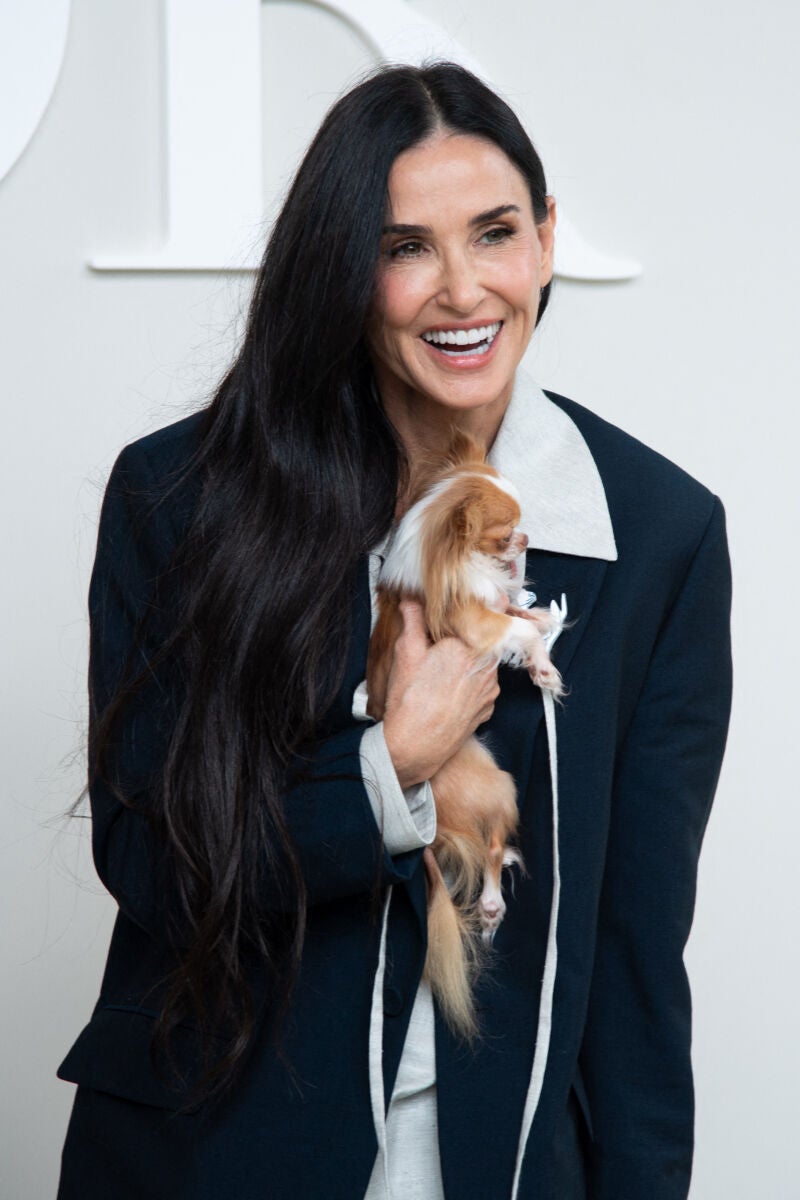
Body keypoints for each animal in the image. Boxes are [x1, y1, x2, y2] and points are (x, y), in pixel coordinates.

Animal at [369, 434, 563, 1041]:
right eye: (504, 533)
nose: (526, 538)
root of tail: (429, 836)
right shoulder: (473, 621)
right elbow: (516, 627)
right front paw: (541, 652)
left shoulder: (494, 603)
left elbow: (524, 616)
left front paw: (546, 636)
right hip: (501, 785)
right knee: (491, 846)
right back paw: (495, 900)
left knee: (490, 848)